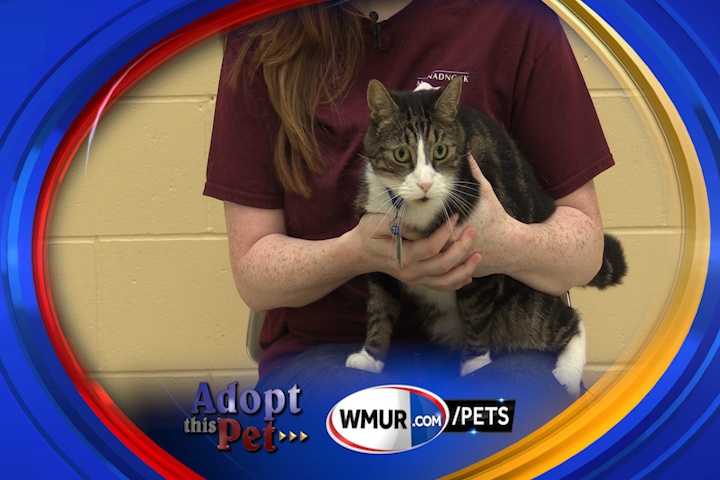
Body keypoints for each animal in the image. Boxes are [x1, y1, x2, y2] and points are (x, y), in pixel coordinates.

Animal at [346, 77, 628, 396]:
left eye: (440, 151)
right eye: (401, 154)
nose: (425, 184)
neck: (415, 212)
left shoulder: (483, 257)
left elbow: (476, 313)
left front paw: (475, 365)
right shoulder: (379, 255)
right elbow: (379, 308)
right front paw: (369, 357)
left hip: (524, 308)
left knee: (567, 320)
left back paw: (567, 372)